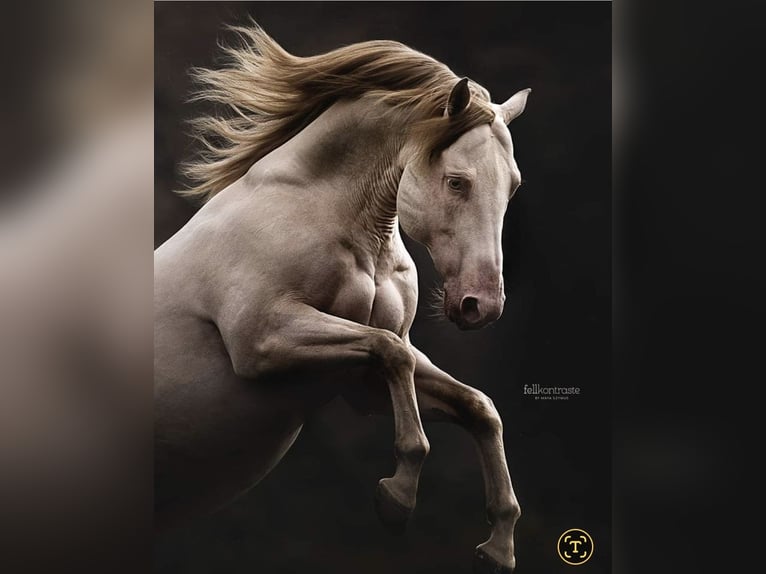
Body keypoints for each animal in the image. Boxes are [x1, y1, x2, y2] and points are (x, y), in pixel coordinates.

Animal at [154, 24, 530, 574]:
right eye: (457, 181)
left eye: (513, 186)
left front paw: (499, 545)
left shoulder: (359, 382)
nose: (481, 304)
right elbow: (392, 353)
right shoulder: (262, 341)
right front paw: (396, 499)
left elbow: (479, 406)